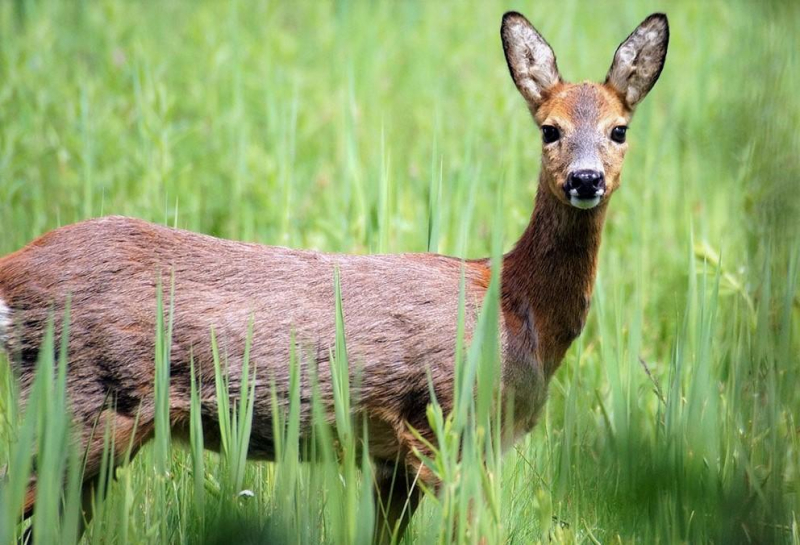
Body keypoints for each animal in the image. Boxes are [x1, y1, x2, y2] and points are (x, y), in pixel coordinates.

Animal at [1, 9, 668, 544]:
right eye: (549, 128)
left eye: (619, 129)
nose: (585, 179)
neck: (514, 306)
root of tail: (14, 271)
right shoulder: (441, 424)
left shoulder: (392, 461)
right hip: (82, 403)